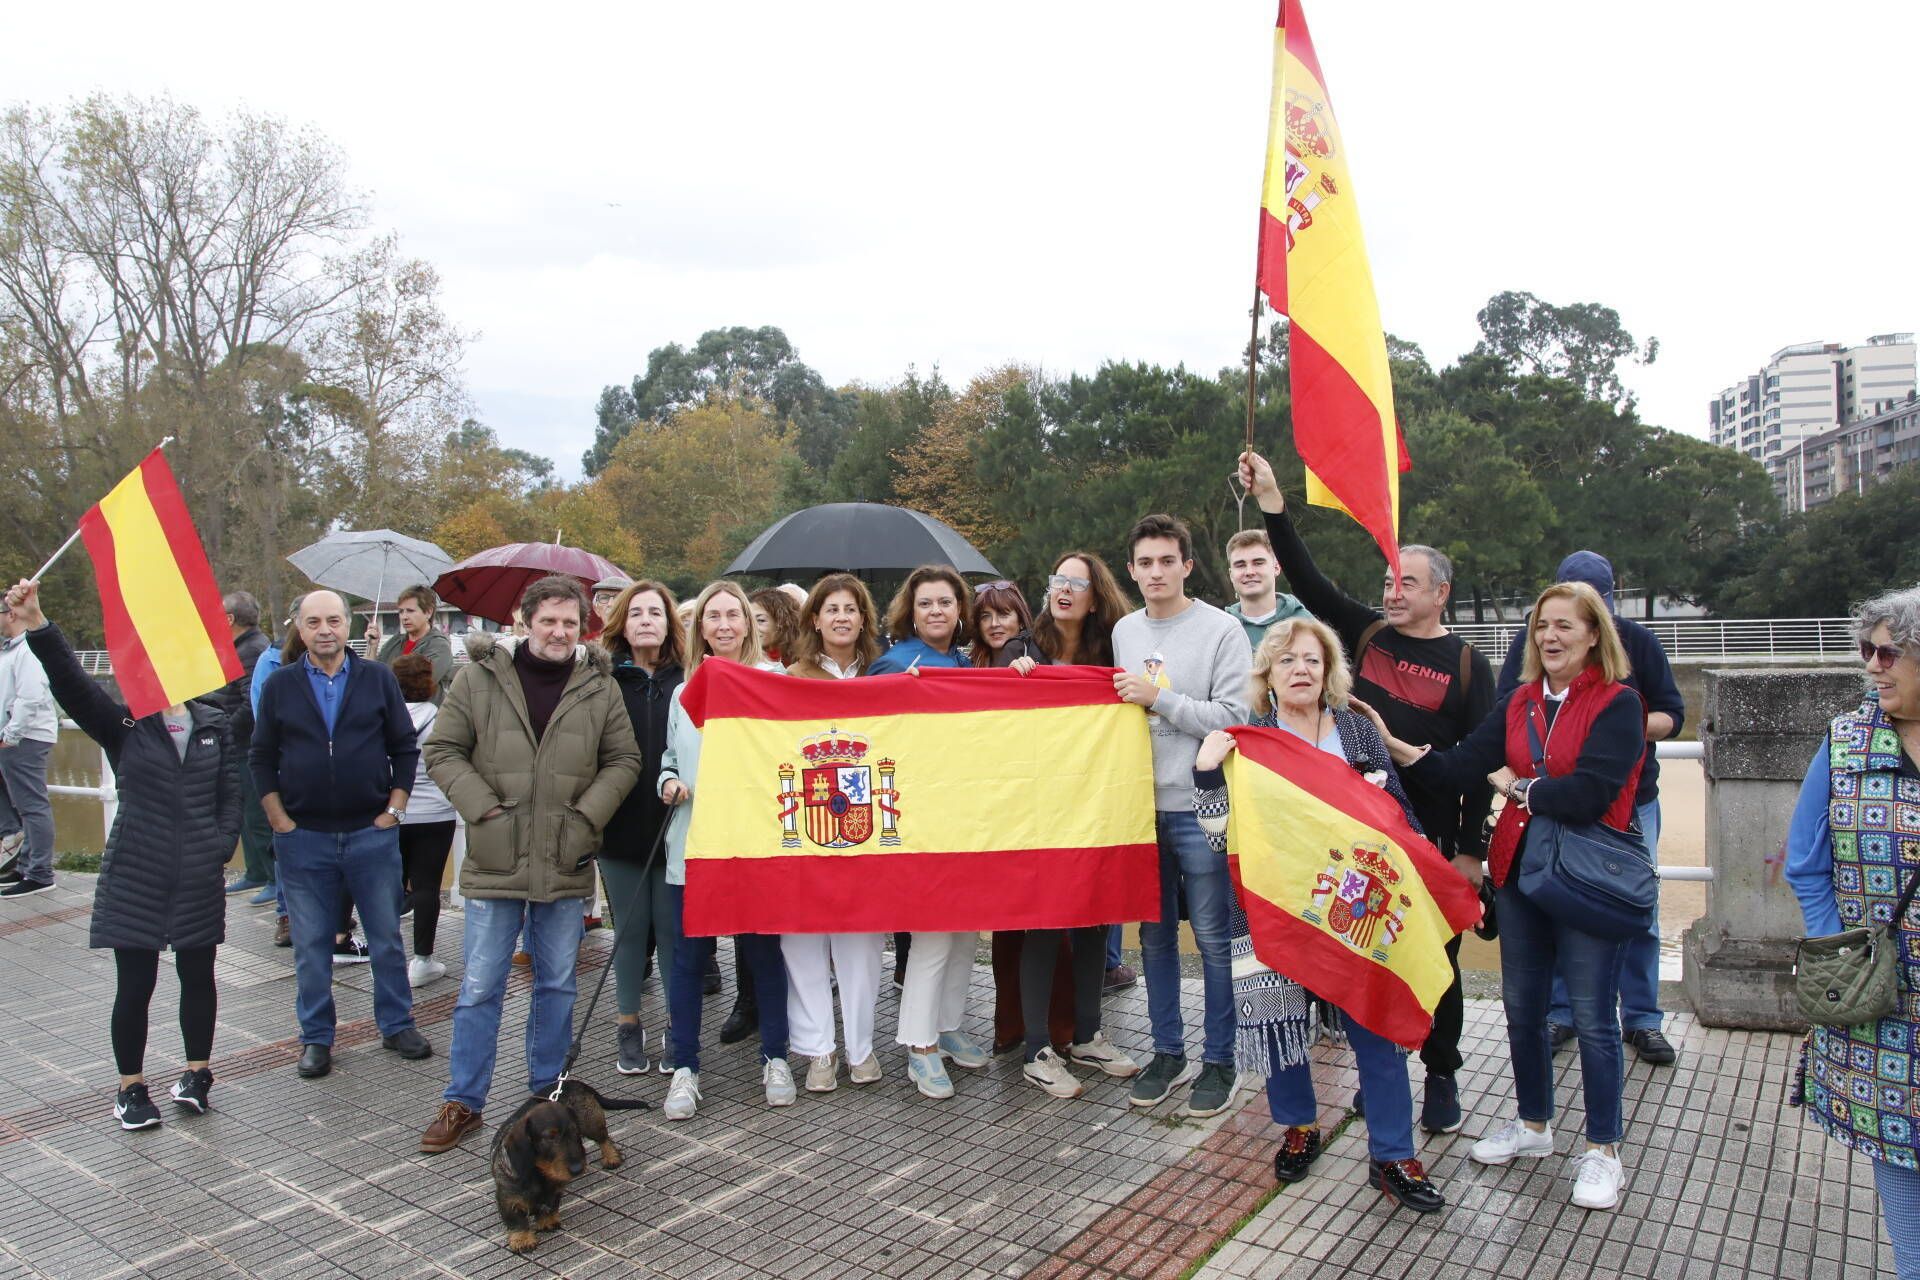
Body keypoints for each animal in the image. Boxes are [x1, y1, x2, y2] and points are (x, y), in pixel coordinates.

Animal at [491, 1082, 648, 1251]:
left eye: (574, 1132)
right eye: (550, 1137)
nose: (577, 1169)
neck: (540, 1173)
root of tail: (573, 1082)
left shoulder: (556, 1189)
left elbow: (551, 1204)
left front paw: (546, 1221)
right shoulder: (508, 1197)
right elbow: (515, 1219)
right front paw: (522, 1239)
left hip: (590, 1122)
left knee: (604, 1138)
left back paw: (612, 1157)